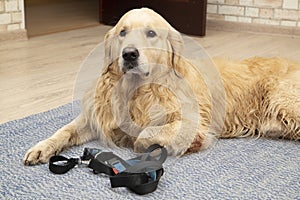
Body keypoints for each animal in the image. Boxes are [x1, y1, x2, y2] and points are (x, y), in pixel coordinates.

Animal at [24, 7, 300, 165]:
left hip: (284, 102)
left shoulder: (189, 121)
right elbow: (64, 131)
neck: (138, 91)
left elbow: (145, 135)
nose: (129, 54)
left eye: (151, 33)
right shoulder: (96, 117)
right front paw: (41, 148)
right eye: (122, 32)